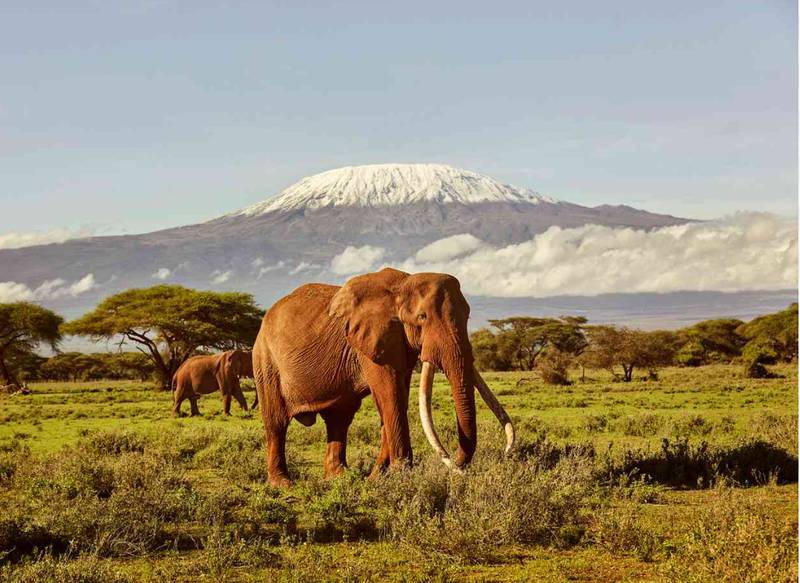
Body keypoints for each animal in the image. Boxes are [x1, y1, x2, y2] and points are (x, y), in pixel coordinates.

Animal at [252, 267, 514, 487]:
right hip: (265, 360)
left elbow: (398, 395)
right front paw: (400, 474)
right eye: (422, 317)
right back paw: (283, 484)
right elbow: (390, 393)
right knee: (276, 422)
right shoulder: (371, 340)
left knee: (339, 419)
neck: (403, 284)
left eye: (468, 316)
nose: (458, 465)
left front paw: (378, 477)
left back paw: (339, 477)